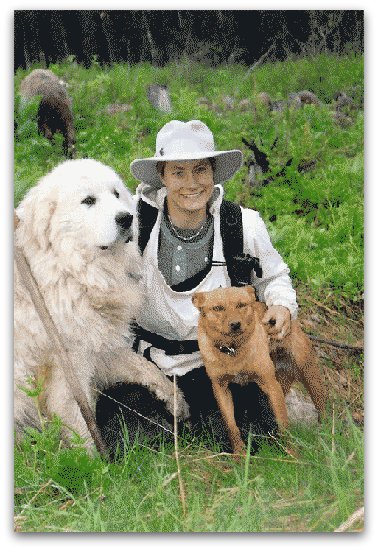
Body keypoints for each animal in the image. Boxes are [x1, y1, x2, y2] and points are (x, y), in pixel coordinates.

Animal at [14, 160, 188, 448]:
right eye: (88, 201)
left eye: (116, 194)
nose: (126, 218)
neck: (69, 269)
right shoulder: (70, 367)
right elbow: (80, 424)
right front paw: (93, 458)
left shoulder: (98, 346)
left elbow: (145, 366)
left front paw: (176, 400)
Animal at [193, 286, 326, 454]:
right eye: (218, 308)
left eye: (242, 305)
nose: (235, 324)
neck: (233, 350)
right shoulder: (221, 389)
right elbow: (232, 427)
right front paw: (239, 454)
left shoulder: (270, 384)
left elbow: (283, 426)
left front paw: (291, 453)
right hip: (281, 384)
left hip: (310, 378)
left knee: (322, 408)